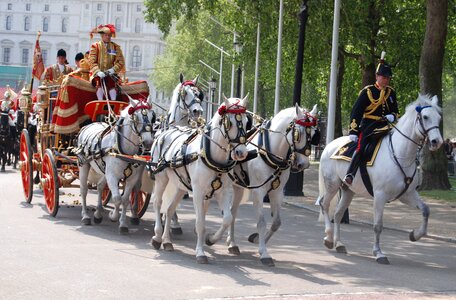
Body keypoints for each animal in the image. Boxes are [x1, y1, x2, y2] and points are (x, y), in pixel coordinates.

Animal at [75, 97, 156, 233]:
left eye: (152, 117)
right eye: (136, 117)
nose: (149, 142)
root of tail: (88, 125)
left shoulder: (131, 178)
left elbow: (125, 199)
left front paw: (123, 224)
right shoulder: (112, 176)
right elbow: (117, 198)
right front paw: (113, 216)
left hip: (103, 171)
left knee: (100, 186)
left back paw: (98, 213)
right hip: (84, 165)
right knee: (84, 190)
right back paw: (85, 216)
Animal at [150, 95, 249, 262]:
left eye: (247, 122)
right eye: (229, 123)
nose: (241, 153)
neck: (210, 154)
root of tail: (164, 132)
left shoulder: (223, 192)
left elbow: (227, 218)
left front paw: (211, 239)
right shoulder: (197, 192)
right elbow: (200, 222)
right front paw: (200, 252)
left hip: (180, 185)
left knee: (170, 209)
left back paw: (167, 241)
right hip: (161, 178)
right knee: (158, 202)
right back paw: (157, 236)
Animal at [230, 105, 318, 264]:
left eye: (314, 133)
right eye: (298, 134)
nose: (304, 164)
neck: (269, 151)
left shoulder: (277, 192)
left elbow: (276, 222)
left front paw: (258, 240)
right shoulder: (258, 192)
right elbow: (261, 222)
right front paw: (264, 252)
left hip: (238, 187)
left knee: (232, 213)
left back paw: (232, 244)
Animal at [318, 95, 442, 264]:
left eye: (439, 118)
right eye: (425, 117)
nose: (437, 142)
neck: (400, 154)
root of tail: (329, 145)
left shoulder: (407, 194)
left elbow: (426, 210)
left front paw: (415, 235)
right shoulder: (380, 195)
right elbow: (378, 225)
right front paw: (378, 253)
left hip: (348, 190)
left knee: (338, 213)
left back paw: (339, 244)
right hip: (332, 185)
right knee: (324, 205)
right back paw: (329, 238)